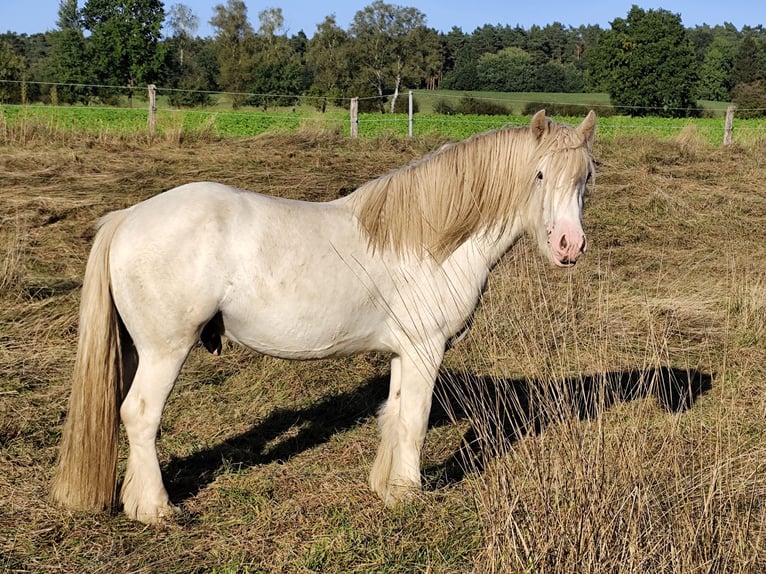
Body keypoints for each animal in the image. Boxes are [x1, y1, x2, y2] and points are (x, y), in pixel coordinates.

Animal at [52, 109, 600, 528]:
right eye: (539, 175)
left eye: (586, 178)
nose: (568, 247)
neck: (431, 239)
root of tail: (127, 217)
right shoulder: (426, 348)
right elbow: (416, 419)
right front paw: (410, 494)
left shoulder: (404, 351)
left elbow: (394, 414)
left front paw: (388, 489)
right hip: (165, 350)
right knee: (140, 414)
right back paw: (156, 509)